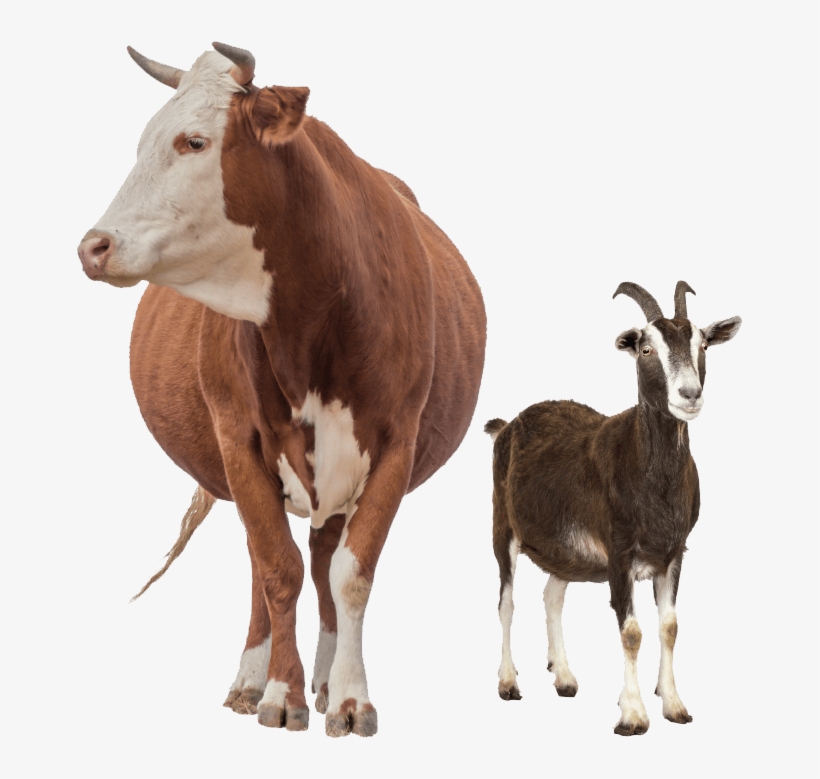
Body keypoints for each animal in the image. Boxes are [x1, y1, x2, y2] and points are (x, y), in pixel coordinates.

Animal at [486, 281, 741, 736]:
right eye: (646, 348)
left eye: (703, 345)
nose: (690, 395)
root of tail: (506, 426)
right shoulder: (619, 552)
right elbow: (632, 632)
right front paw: (633, 715)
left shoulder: (674, 552)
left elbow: (670, 626)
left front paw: (674, 705)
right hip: (503, 526)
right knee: (506, 601)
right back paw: (508, 682)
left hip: (565, 551)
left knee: (552, 595)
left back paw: (564, 677)